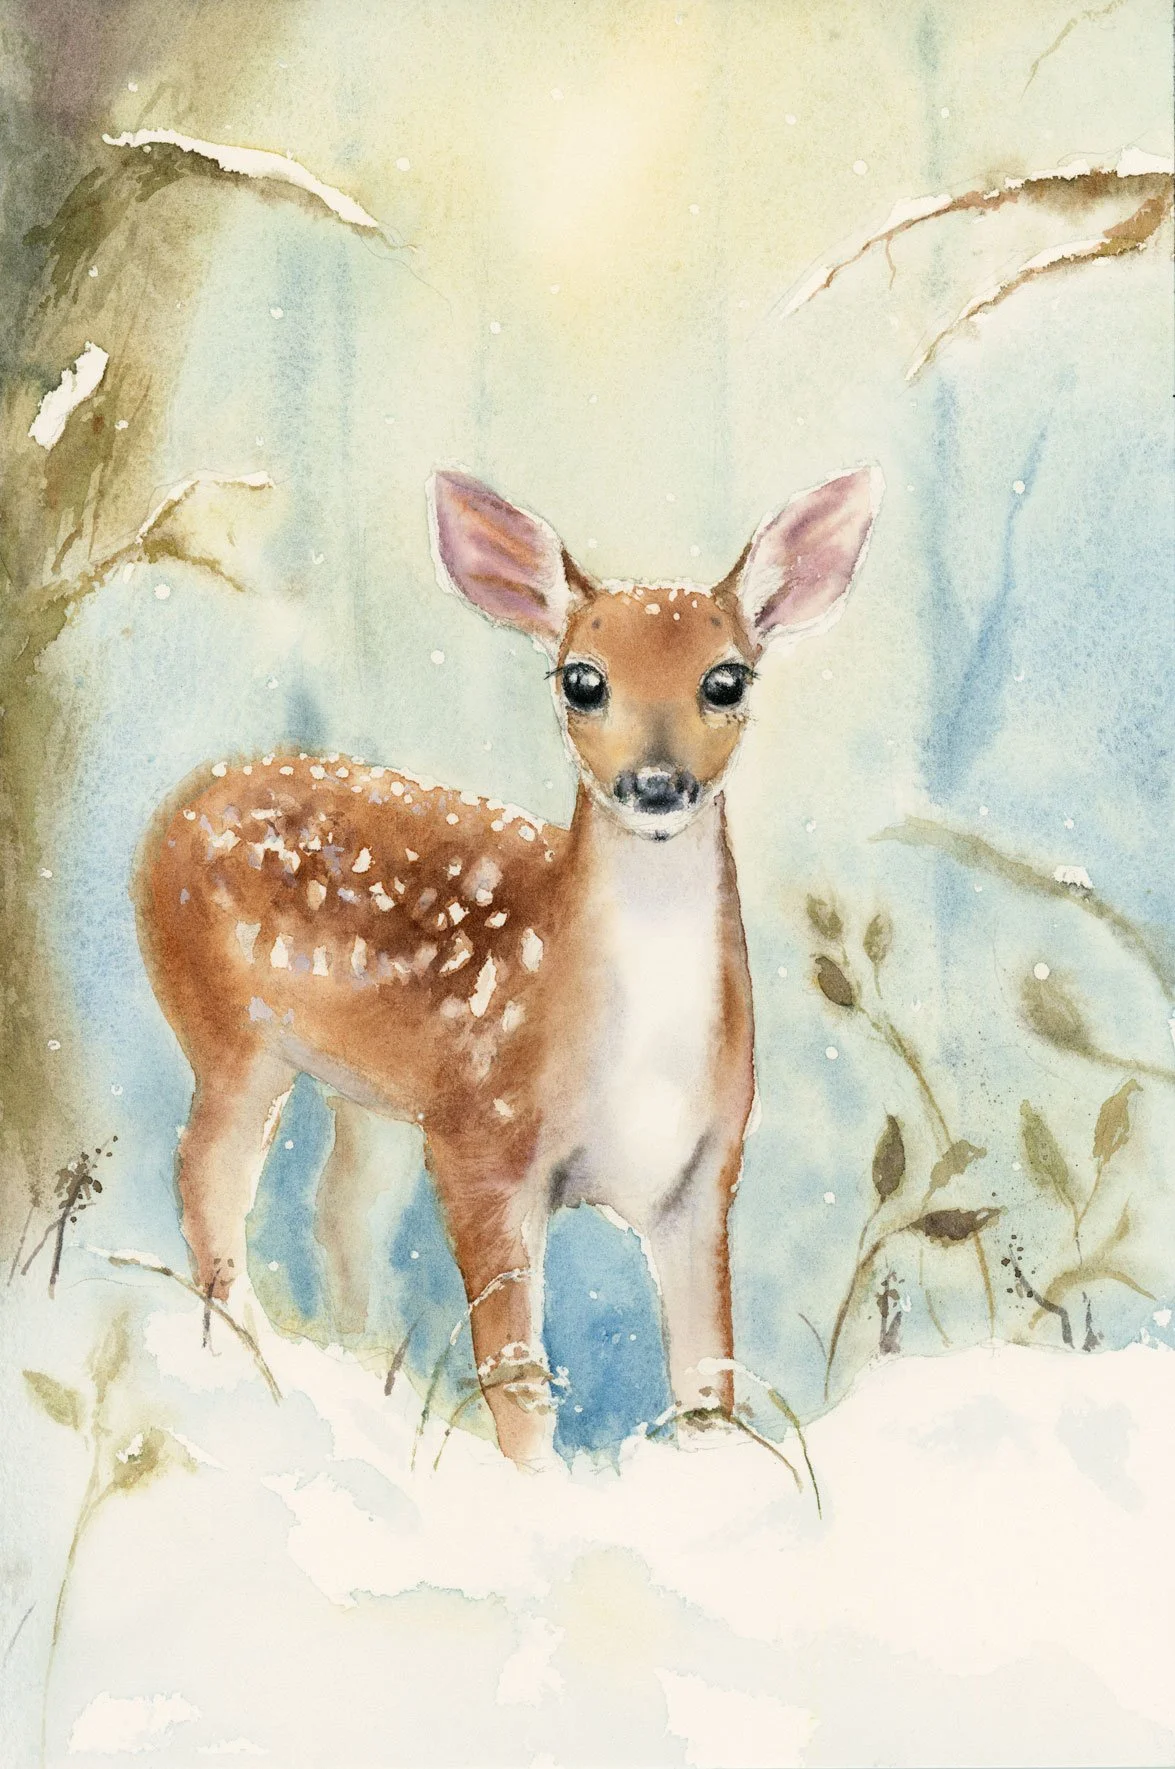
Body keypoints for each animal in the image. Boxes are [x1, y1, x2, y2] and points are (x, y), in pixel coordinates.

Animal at [134, 464, 882, 1466]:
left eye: (727, 679)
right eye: (582, 679)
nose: (656, 785)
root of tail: (180, 803)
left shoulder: (704, 1168)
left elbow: (706, 1376)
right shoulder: (481, 1140)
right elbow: (519, 1377)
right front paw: (530, 1486)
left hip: (370, 1093)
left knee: (340, 1213)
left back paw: (358, 1364)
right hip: (227, 1031)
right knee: (207, 1180)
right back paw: (263, 1371)